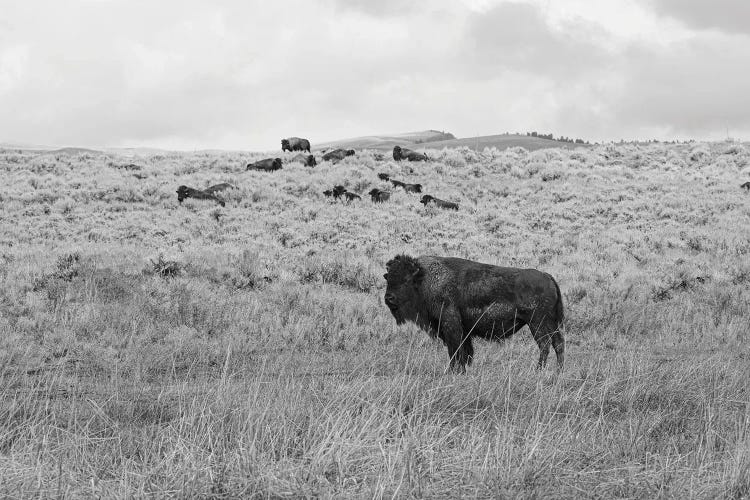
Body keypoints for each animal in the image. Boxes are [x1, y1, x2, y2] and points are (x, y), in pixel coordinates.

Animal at [384, 256, 568, 374]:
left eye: (406, 280)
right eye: (388, 278)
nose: (388, 298)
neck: (423, 279)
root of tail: (548, 277)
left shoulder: (450, 325)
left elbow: (456, 350)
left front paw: (454, 371)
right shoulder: (462, 330)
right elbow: (463, 351)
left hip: (537, 322)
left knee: (544, 344)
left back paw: (538, 371)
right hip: (550, 322)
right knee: (558, 343)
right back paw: (558, 372)